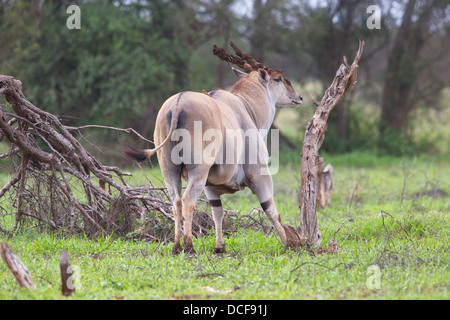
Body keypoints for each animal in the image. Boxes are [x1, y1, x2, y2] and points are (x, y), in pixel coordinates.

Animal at [125, 40, 304, 255]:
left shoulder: (211, 187)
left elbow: (217, 211)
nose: (299, 97)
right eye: (278, 79)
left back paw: (176, 246)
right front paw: (289, 244)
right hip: (198, 171)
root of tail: (177, 106)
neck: (245, 106)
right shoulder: (259, 175)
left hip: (170, 170)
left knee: (175, 201)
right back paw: (189, 246)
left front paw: (219, 247)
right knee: (188, 200)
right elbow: (271, 210)